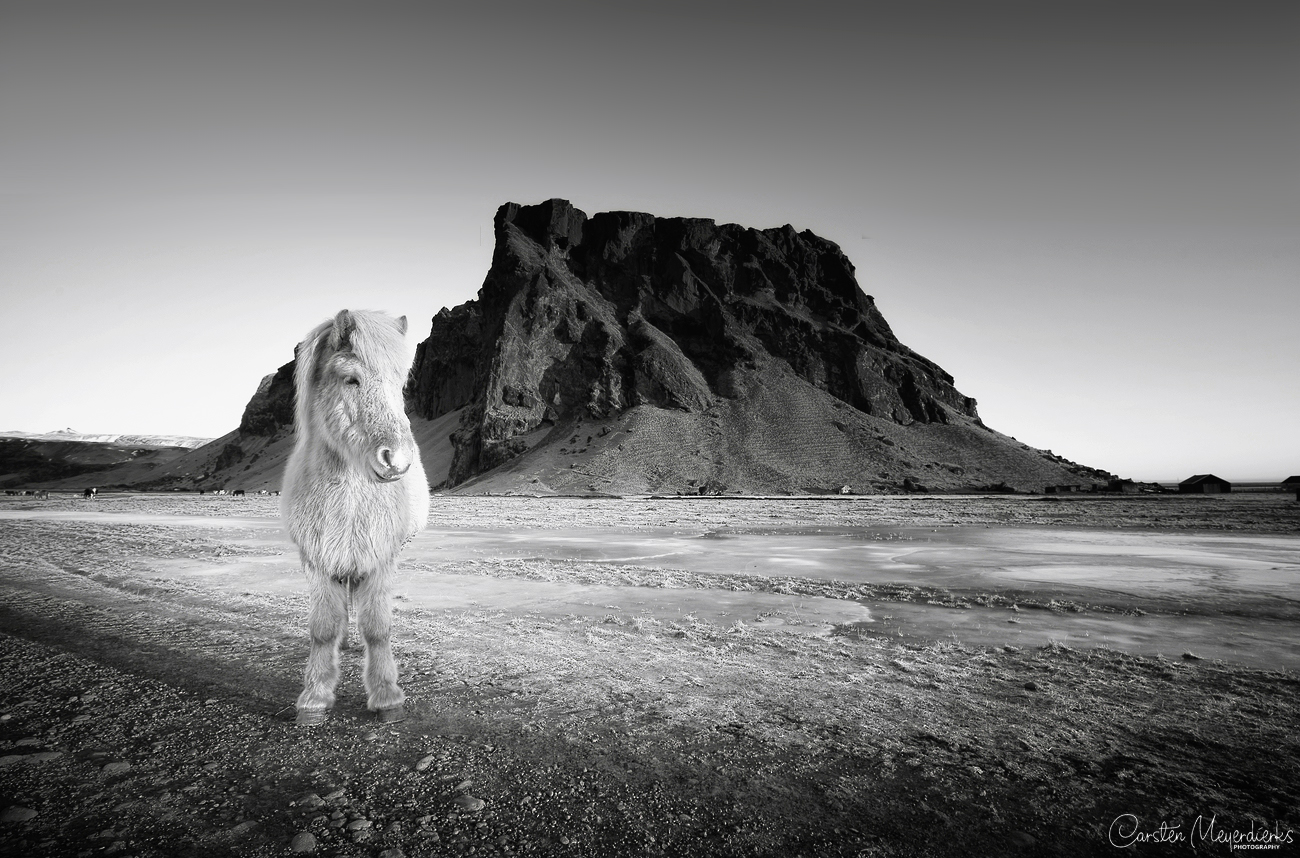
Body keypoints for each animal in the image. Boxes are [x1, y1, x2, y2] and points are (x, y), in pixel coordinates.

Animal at [282, 308, 428, 722]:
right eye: (352, 379)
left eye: (400, 384)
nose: (397, 460)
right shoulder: (317, 561)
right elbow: (322, 628)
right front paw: (314, 696)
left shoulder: (381, 561)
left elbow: (378, 628)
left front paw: (387, 696)